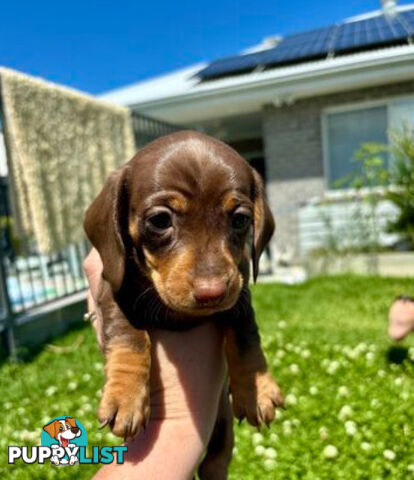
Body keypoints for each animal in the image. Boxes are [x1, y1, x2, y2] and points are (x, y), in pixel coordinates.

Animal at [85, 129, 284, 478]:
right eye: (160, 220)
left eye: (240, 219)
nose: (212, 293)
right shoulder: (110, 287)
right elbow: (129, 335)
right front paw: (125, 395)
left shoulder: (240, 292)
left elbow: (246, 336)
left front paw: (256, 388)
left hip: (222, 426)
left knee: (216, 460)